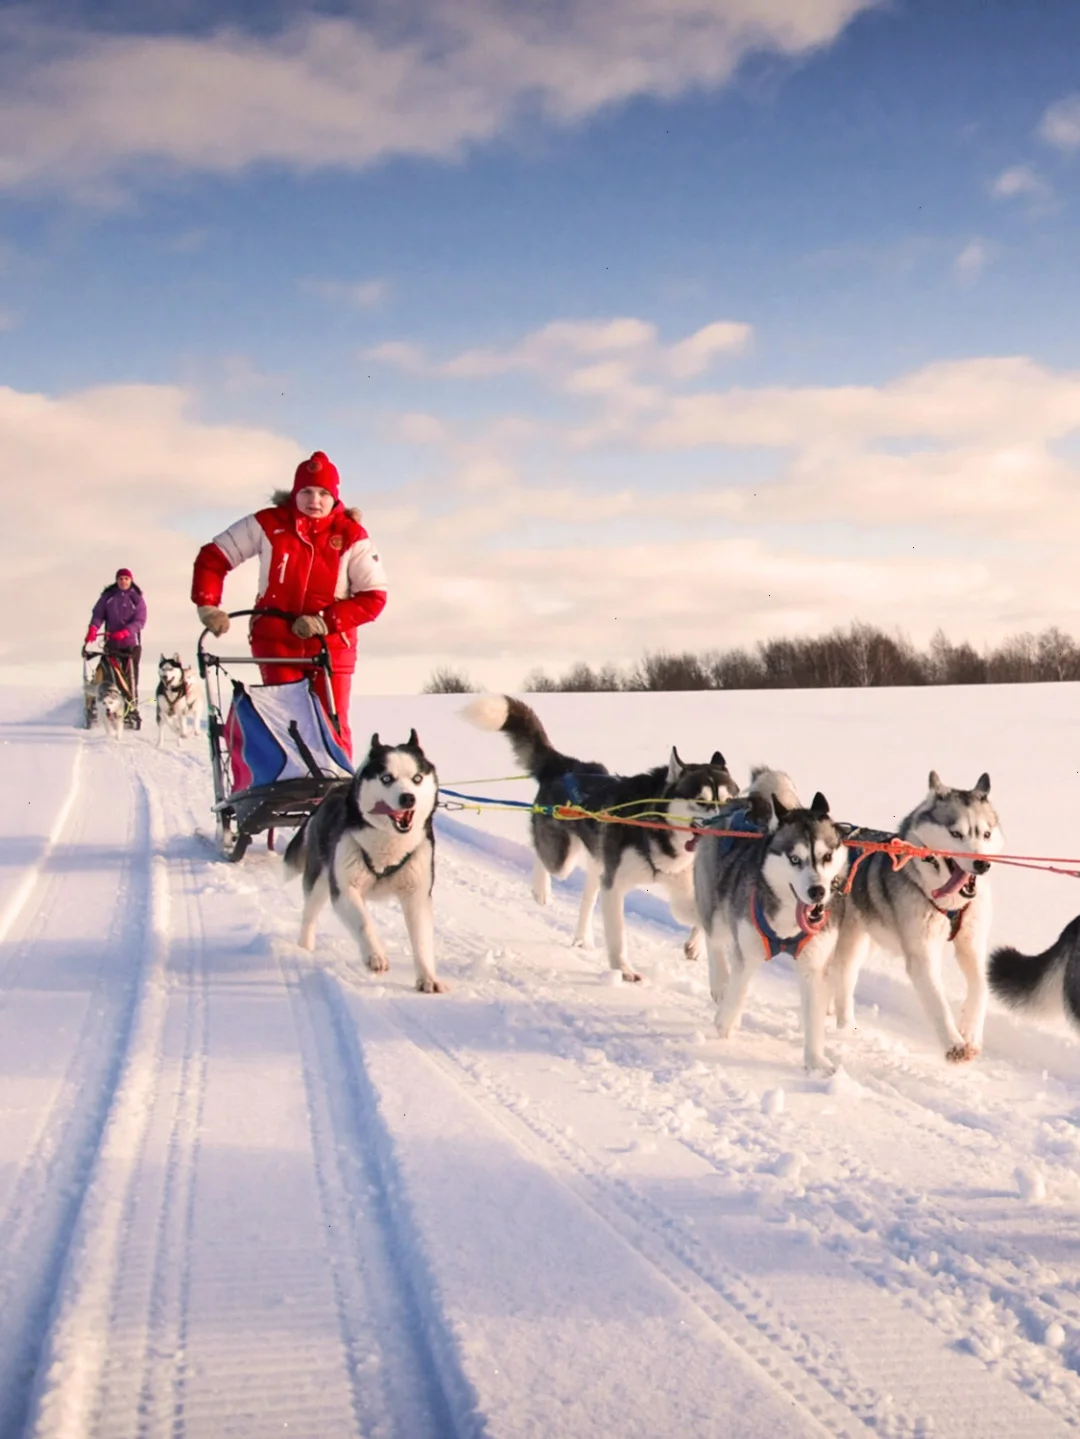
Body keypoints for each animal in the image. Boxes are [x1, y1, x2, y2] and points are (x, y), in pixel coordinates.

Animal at [284, 731, 445, 990]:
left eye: (417, 778)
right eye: (387, 778)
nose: (408, 798)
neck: (388, 846)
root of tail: (333, 790)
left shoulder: (417, 895)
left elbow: (421, 940)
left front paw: (428, 979)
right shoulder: (344, 889)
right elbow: (363, 923)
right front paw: (375, 956)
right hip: (320, 881)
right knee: (309, 916)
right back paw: (304, 948)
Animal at [465, 693, 736, 984]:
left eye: (729, 800)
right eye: (701, 800)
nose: (726, 826)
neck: (657, 829)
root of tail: (565, 766)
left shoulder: (680, 888)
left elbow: (702, 916)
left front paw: (695, 946)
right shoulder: (615, 886)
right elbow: (617, 935)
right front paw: (623, 969)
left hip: (598, 860)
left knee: (588, 894)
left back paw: (582, 937)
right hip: (563, 858)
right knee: (545, 857)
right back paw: (541, 889)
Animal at [693, 771, 851, 1076]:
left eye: (827, 857)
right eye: (795, 859)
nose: (817, 891)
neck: (788, 925)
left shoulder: (813, 965)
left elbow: (814, 1015)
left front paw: (815, 1061)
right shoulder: (748, 948)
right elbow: (739, 986)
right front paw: (725, 1021)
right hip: (716, 910)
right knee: (714, 941)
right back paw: (720, 983)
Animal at [828, 771, 1006, 1064]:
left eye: (986, 834)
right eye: (956, 833)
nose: (981, 863)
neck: (950, 901)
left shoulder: (971, 945)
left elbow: (981, 986)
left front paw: (970, 1032)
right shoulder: (922, 955)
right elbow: (937, 1001)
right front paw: (954, 1043)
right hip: (849, 941)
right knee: (842, 975)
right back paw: (845, 1029)